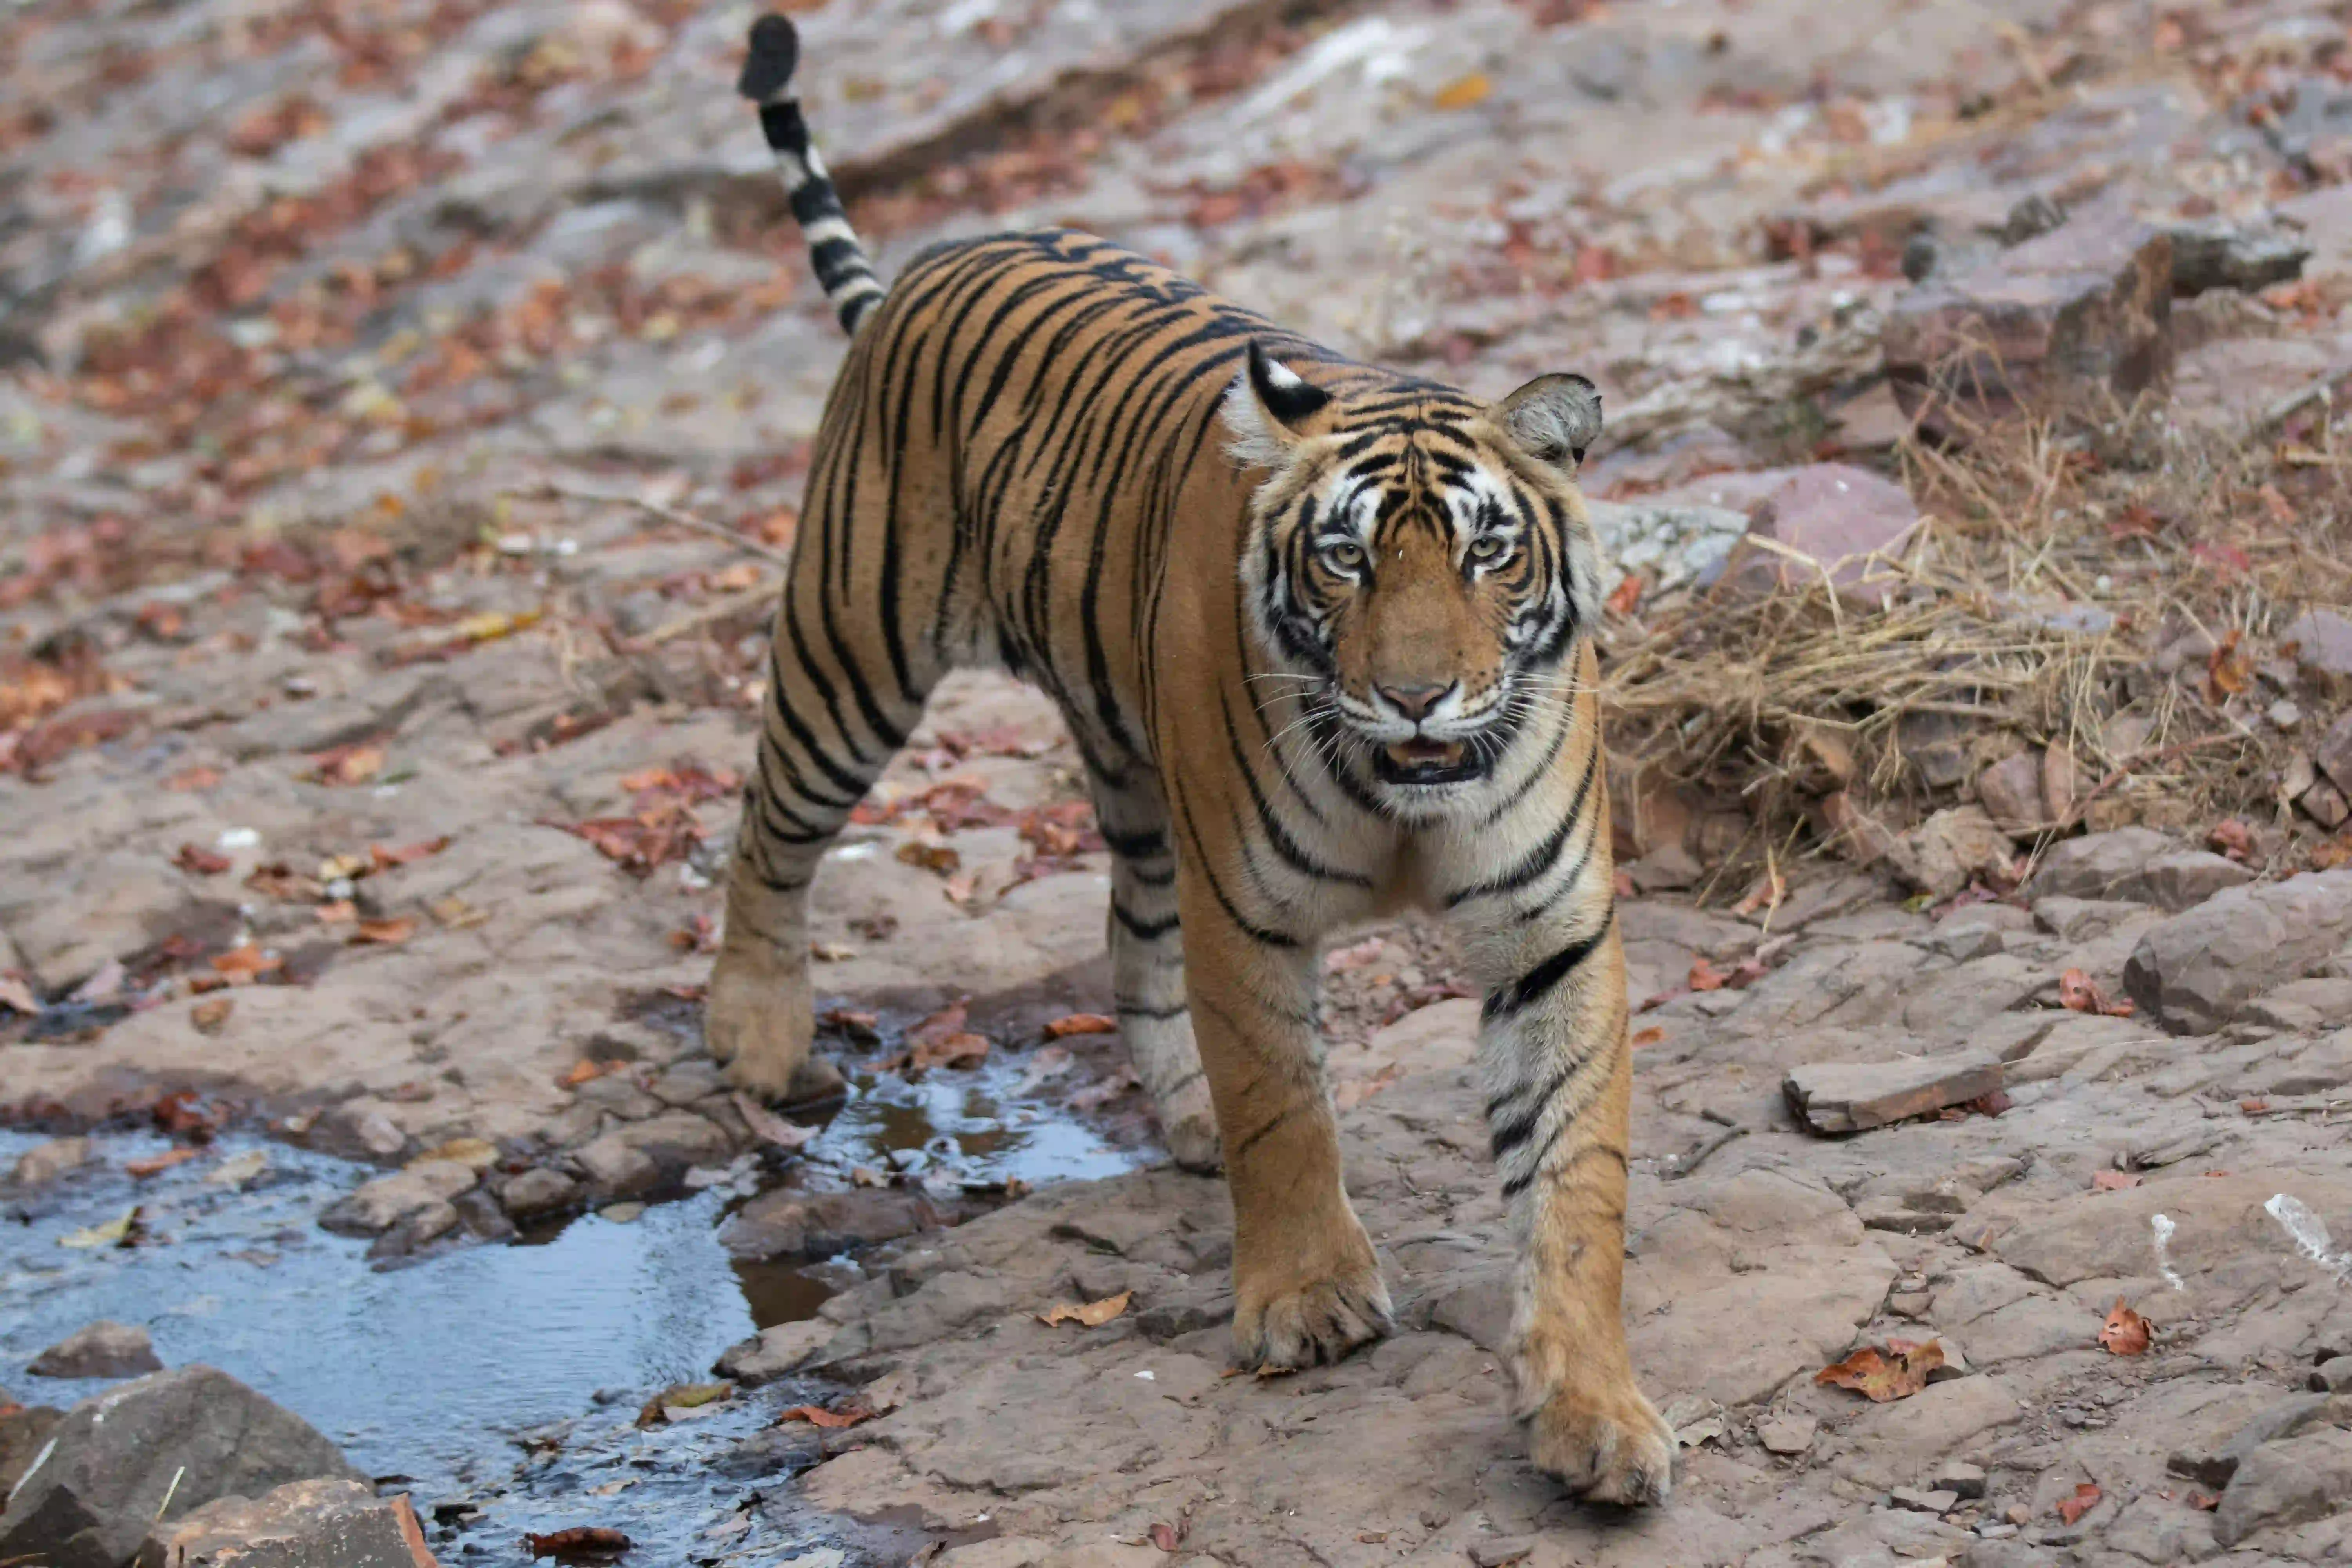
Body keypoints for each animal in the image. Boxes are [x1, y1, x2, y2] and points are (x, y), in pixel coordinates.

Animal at [696, 15, 1675, 1504]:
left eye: (1486, 553)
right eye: (1346, 560)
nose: (1417, 696)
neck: (1407, 800)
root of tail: (928, 264)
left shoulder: (1550, 932)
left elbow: (1576, 1176)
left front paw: (1594, 1413)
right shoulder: (1249, 911)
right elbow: (1283, 1106)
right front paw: (1310, 1300)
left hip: (1132, 766)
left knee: (1128, 929)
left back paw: (1178, 1109)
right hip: (852, 649)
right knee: (768, 828)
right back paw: (754, 1033)